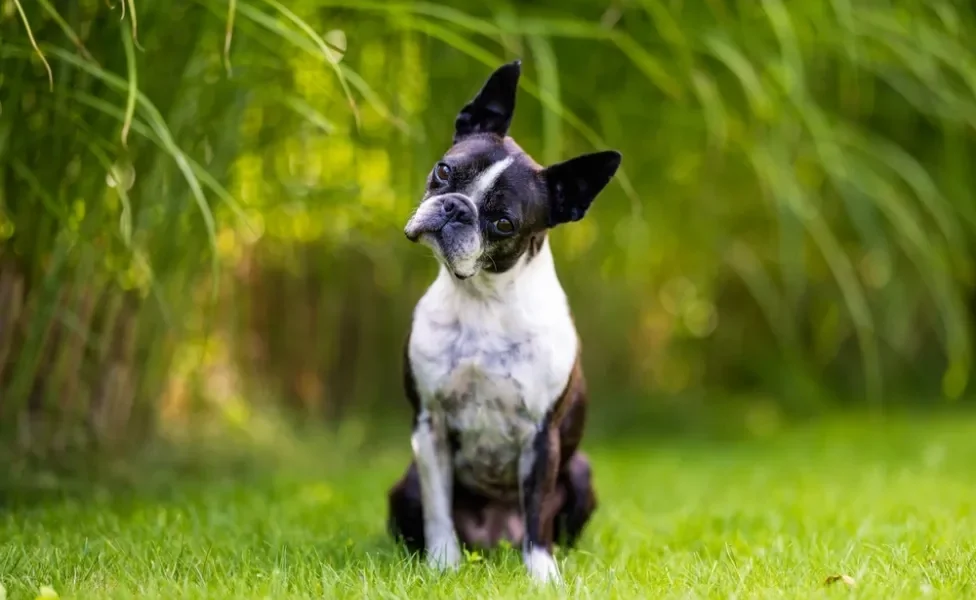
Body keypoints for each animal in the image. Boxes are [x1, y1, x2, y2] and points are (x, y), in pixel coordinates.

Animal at [386, 58, 620, 584]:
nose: (455, 208)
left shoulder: (541, 436)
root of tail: (493, 542)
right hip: (404, 483)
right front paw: (442, 565)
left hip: (580, 470)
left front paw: (543, 576)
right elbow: (438, 508)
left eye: (504, 223)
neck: (483, 301)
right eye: (444, 171)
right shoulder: (429, 427)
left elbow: (538, 512)